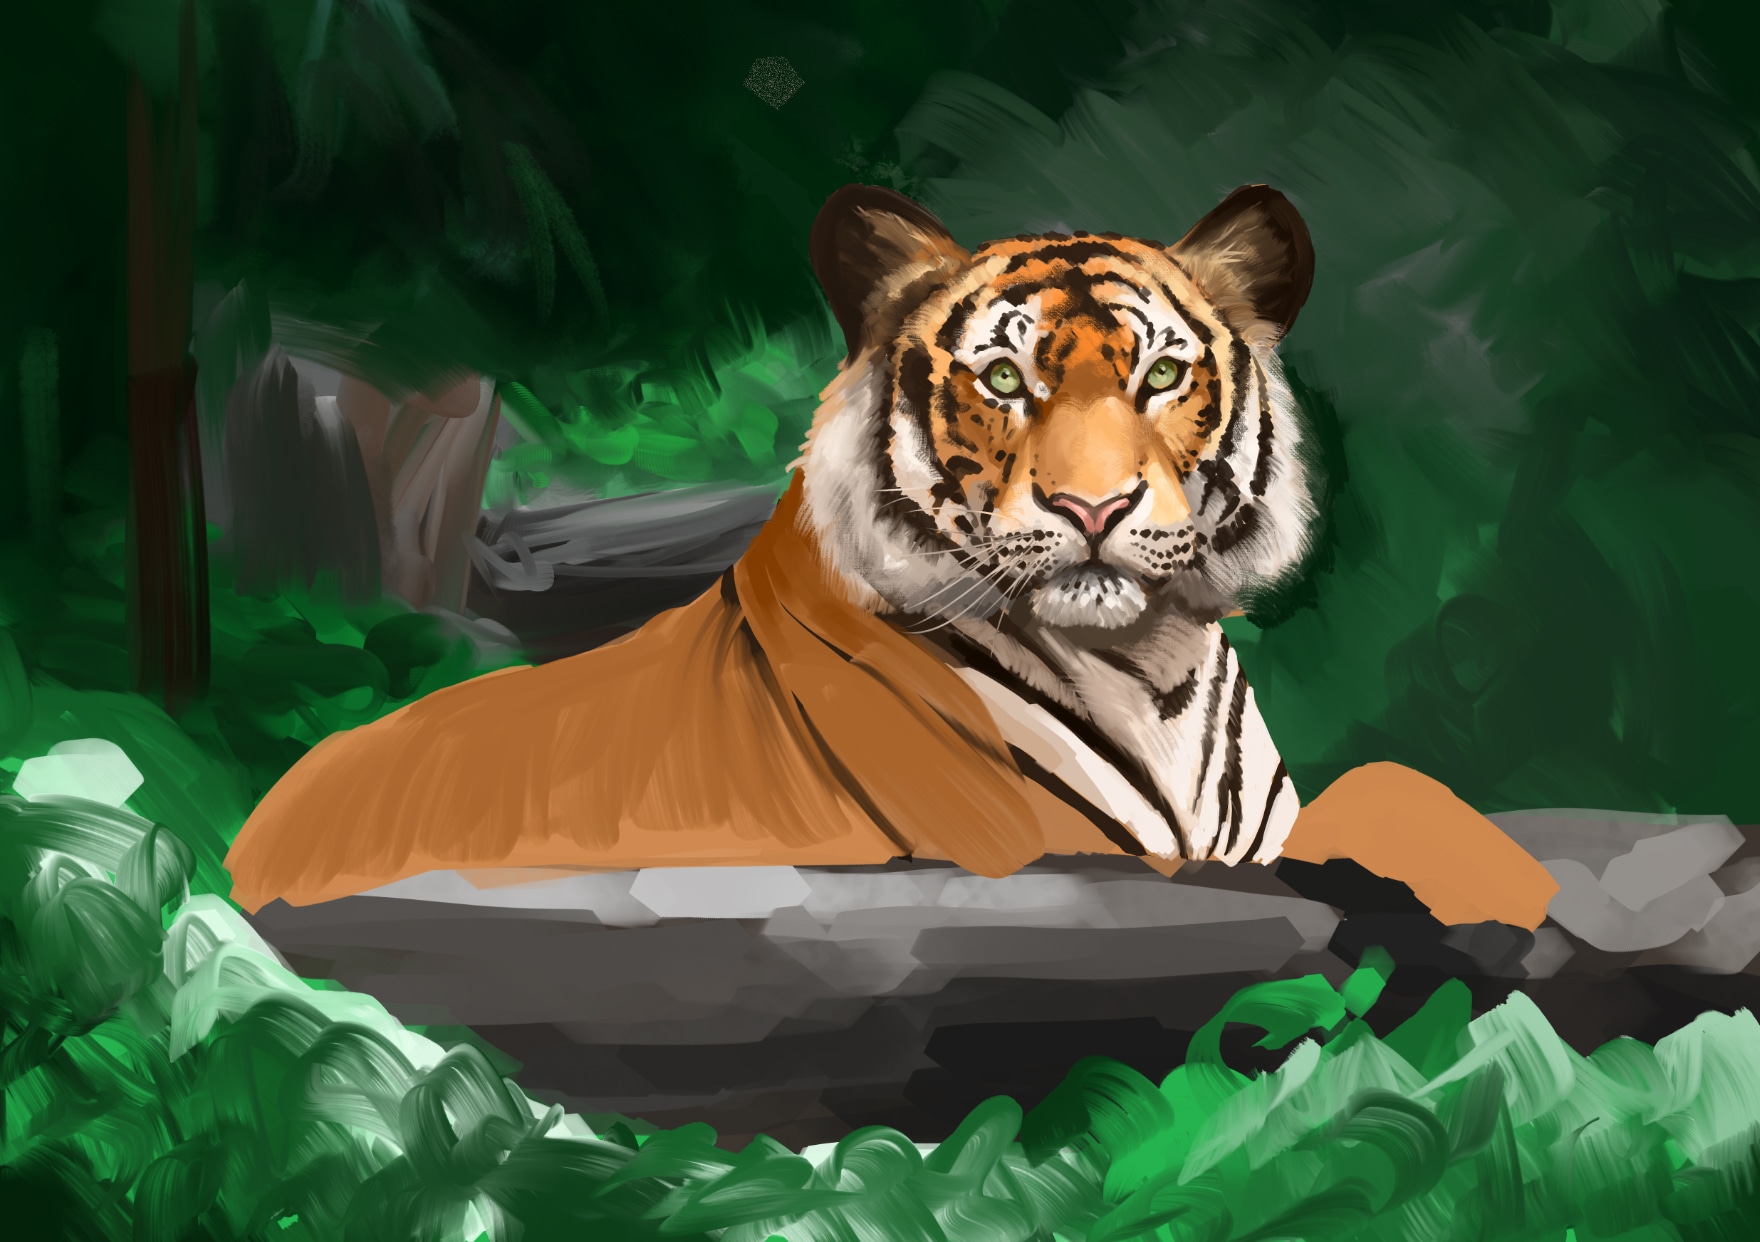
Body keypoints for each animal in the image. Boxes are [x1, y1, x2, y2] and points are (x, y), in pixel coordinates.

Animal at [223, 184, 1557, 931]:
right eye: (1004, 379)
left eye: (1160, 374)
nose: (1092, 505)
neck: (1156, 659)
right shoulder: (1040, 847)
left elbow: (1390, 784)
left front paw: (1501, 879)